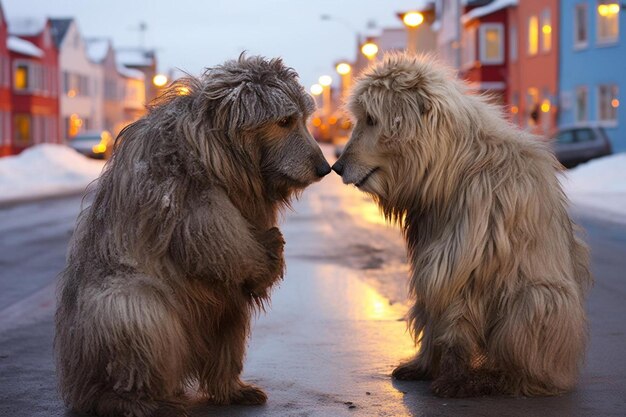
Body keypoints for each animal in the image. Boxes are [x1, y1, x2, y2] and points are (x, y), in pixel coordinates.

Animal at [54, 55, 330, 416]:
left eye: (304, 119)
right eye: (285, 121)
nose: (325, 167)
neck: (221, 153)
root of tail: (78, 383)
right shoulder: (180, 187)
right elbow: (212, 237)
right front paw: (269, 252)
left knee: (229, 322)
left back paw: (231, 388)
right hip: (124, 305)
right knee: (142, 324)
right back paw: (140, 401)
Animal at [332, 53, 588, 398]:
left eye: (371, 119)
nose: (336, 166)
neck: (455, 164)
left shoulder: (470, 253)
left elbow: (455, 309)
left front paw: (453, 376)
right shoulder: (432, 251)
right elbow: (431, 305)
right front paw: (425, 364)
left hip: (538, 301)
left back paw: (501, 378)